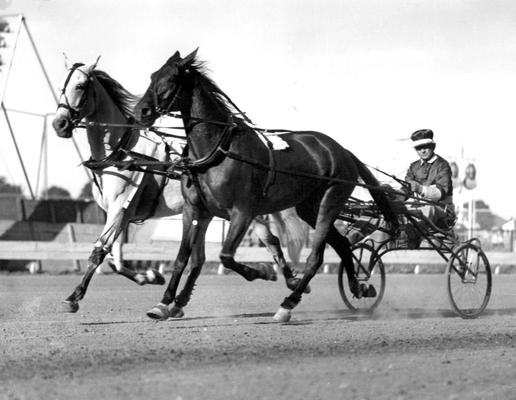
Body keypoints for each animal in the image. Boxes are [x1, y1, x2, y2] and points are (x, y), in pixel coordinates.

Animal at [51, 61, 310, 314]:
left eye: (80, 86)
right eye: (62, 86)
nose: (59, 123)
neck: (122, 151)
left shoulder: (120, 208)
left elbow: (100, 252)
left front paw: (73, 297)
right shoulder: (118, 214)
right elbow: (115, 260)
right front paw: (149, 276)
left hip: (238, 211)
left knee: (268, 241)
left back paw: (284, 279)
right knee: (237, 248)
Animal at [135, 48, 398, 322]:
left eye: (171, 78)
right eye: (153, 75)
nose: (140, 111)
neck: (218, 151)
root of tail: (342, 150)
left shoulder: (243, 211)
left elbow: (226, 256)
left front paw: (262, 271)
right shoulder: (196, 210)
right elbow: (185, 259)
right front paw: (165, 303)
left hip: (331, 200)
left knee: (316, 257)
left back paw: (289, 303)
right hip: (309, 207)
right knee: (343, 244)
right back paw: (358, 286)